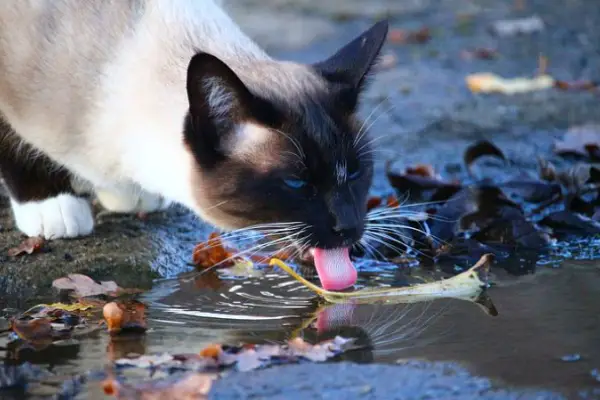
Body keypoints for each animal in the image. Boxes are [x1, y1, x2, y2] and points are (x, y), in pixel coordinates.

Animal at [0, 1, 390, 292]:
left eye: (355, 172)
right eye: (296, 183)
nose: (349, 227)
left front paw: (127, 195)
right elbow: (14, 144)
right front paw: (50, 206)